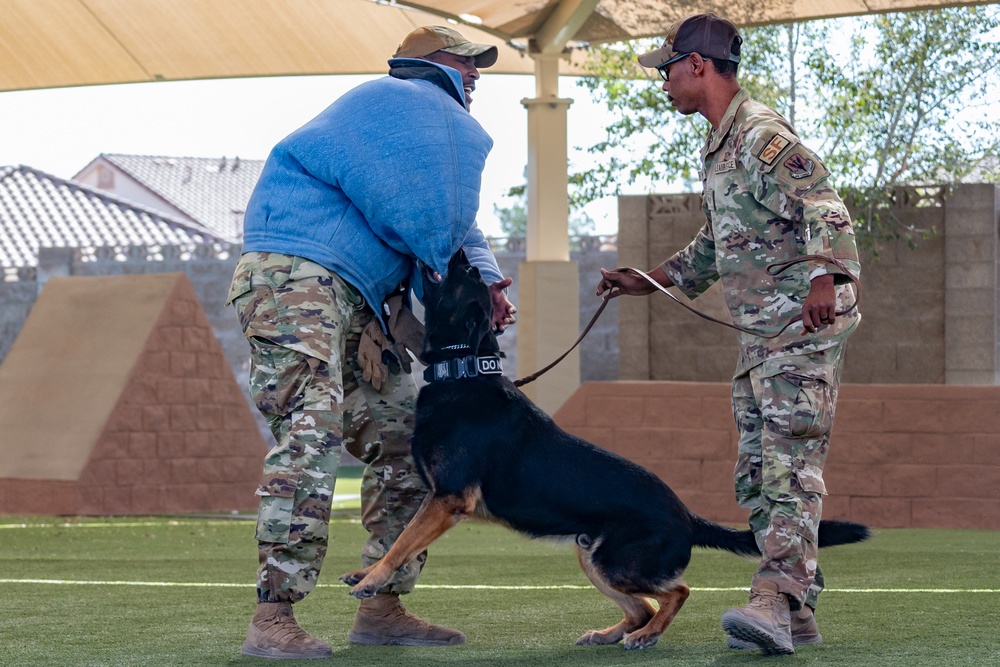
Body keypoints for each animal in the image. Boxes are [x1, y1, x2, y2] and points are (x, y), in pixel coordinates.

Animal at [342, 249, 868, 648]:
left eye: (464, 279)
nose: (463, 257)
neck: (465, 370)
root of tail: (687, 515)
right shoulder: (439, 500)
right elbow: (402, 541)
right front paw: (368, 575)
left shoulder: (448, 499)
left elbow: (402, 543)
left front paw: (371, 580)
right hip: (591, 557)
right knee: (642, 606)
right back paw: (614, 633)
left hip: (614, 561)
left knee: (677, 592)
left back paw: (646, 636)